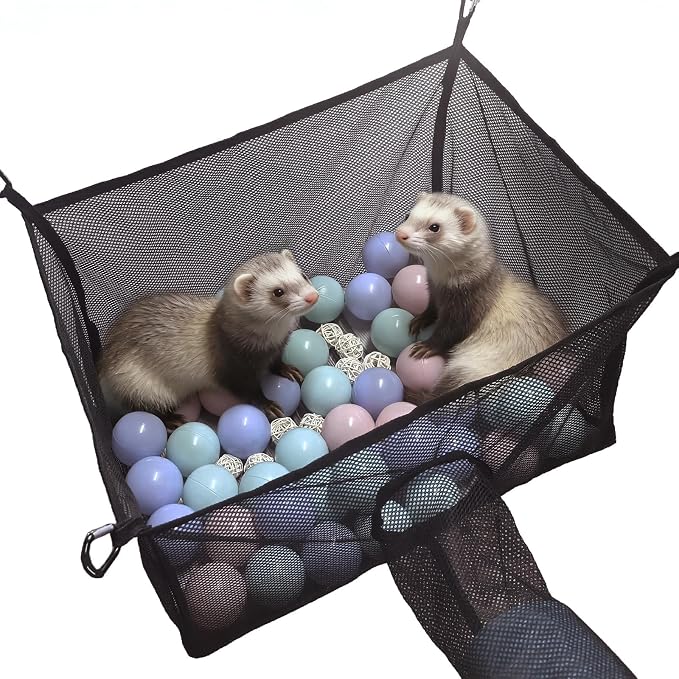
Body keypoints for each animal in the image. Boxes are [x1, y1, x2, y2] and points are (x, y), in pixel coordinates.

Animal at [98, 250, 318, 426]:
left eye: (302, 275)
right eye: (278, 292)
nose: (312, 296)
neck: (268, 344)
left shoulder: (277, 349)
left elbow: (276, 363)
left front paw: (287, 369)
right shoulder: (234, 369)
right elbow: (247, 391)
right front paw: (268, 405)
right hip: (141, 386)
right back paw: (172, 420)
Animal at [395, 193, 567, 396]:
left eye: (434, 227)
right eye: (407, 215)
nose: (400, 234)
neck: (443, 284)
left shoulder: (467, 307)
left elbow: (450, 333)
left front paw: (426, 346)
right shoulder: (434, 294)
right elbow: (431, 309)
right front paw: (420, 320)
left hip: (468, 369)